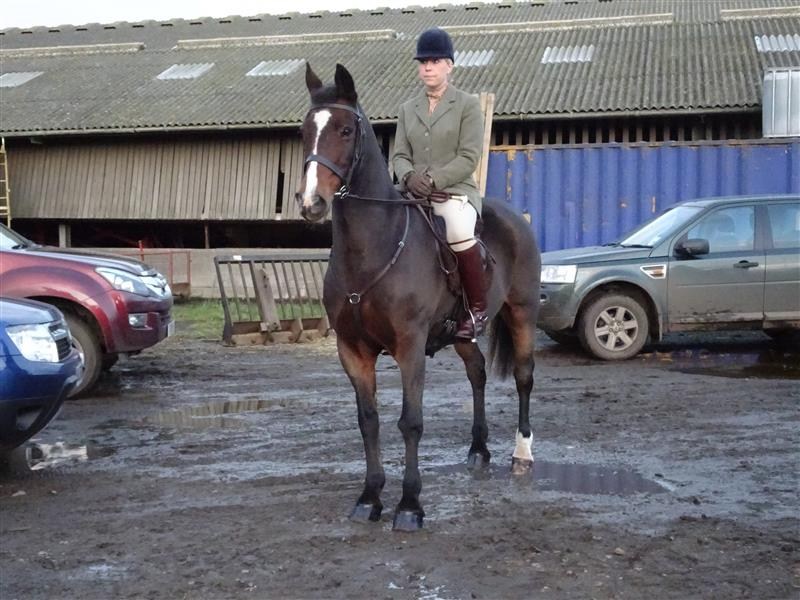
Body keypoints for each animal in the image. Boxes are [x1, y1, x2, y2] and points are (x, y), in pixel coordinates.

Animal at [295, 63, 541, 532]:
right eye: (305, 130)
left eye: (345, 130)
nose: (311, 202)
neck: (372, 247)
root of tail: (515, 218)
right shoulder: (351, 349)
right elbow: (368, 420)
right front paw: (370, 497)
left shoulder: (409, 345)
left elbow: (410, 422)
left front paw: (410, 505)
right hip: (463, 333)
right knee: (478, 373)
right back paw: (478, 450)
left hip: (522, 315)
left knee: (523, 377)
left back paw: (522, 454)